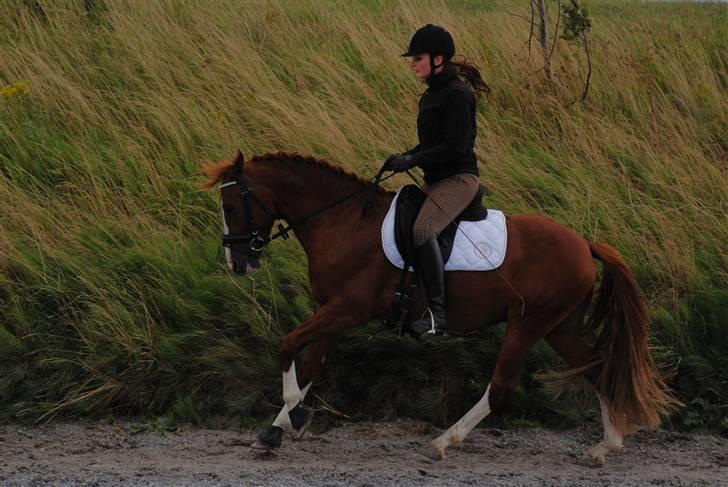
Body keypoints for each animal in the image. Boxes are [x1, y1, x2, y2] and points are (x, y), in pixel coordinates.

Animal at [200, 151, 676, 464]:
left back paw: (444, 442)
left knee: (501, 386)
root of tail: (583, 244)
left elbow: (287, 348)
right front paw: (281, 427)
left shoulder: (346, 310)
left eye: (231, 206)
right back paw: (605, 446)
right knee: (597, 368)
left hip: (528, 324)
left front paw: (291, 415)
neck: (343, 222)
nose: (237, 263)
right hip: (561, 326)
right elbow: (310, 366)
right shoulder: (330, 311)